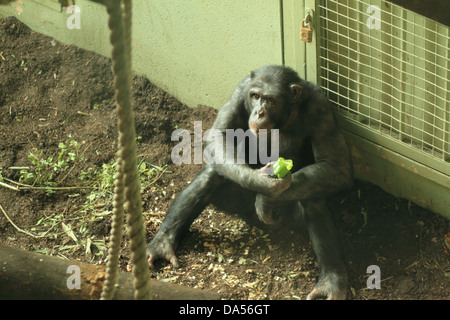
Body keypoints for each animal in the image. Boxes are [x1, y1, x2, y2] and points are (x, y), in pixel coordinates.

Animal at [146, 65, 354, 300]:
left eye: (270, 100)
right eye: (255, 96)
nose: (259, 112)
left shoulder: (321, 108)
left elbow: (335, 165)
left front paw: (266, 199)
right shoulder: (240, 92)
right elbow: (219, 138)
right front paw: (262, 183)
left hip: (292, 217)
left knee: (314, 197)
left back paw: (331, 281)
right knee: (213, 173)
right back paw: (163, 242)